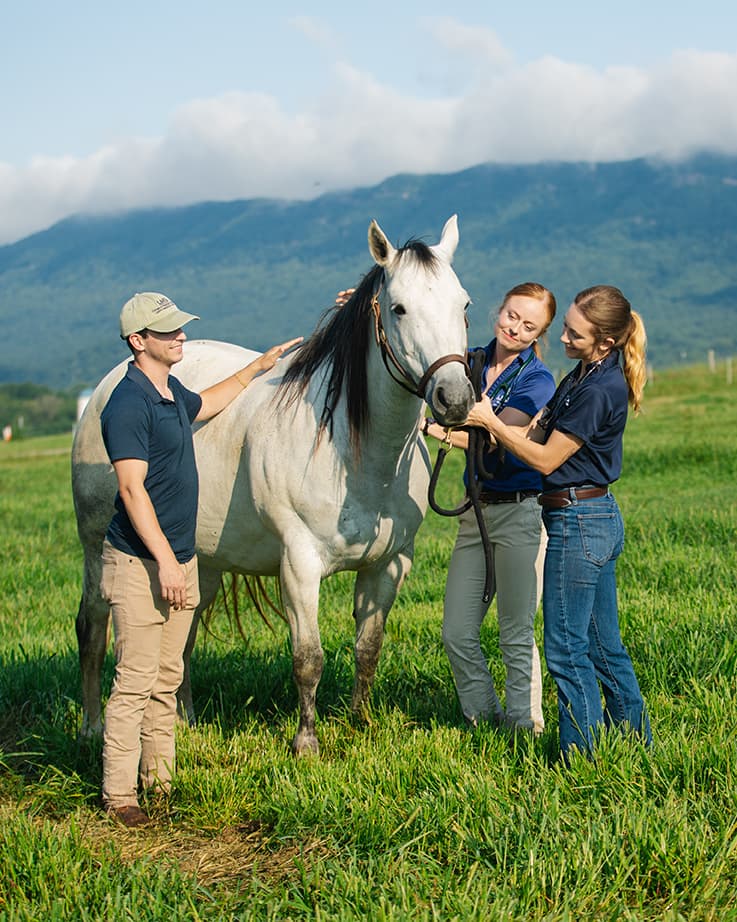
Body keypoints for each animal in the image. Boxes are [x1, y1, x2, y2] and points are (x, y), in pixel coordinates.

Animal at [72, 214, 475, 755]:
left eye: (463, 304)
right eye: (399, 308)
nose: (455, 398)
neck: (355, 454)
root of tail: (103, 390)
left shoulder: (389, 564)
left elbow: (368, 647)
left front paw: (361, 722)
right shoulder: (298, 566)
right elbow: (308, 657)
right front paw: (306, 742)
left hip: (198, 563)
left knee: (183, 637)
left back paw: (186, 719)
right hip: (100, 550)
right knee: (93, 628)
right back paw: (92, 726)